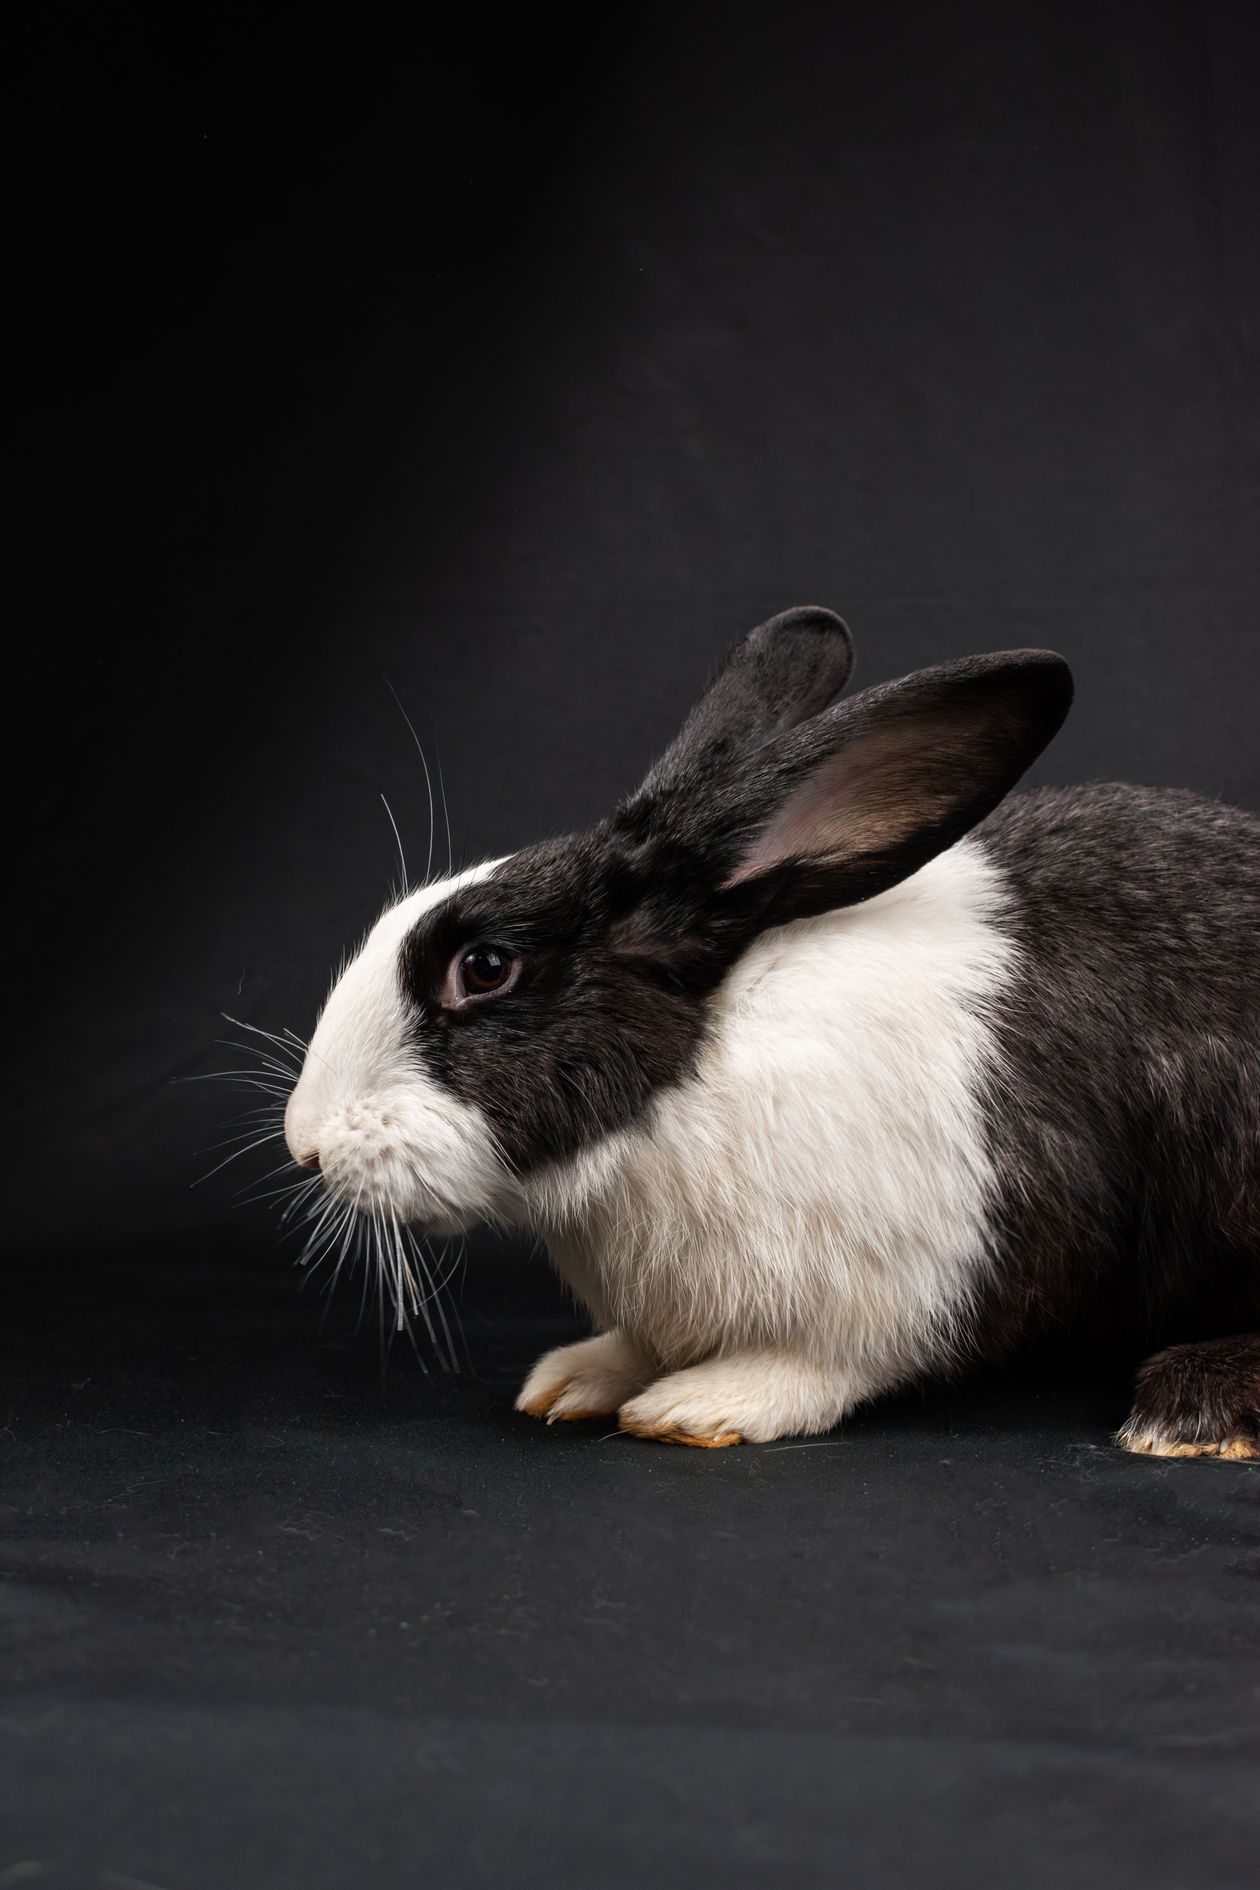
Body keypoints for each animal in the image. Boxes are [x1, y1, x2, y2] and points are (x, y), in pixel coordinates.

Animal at [284, 607, 1260, 1456]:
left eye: (484, 967)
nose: (305, 1146)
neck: (685, 1081)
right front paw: (573, 1380)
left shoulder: (911, 1273)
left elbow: (821, 1363)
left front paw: (700, 1406)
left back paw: (1189, 1413)